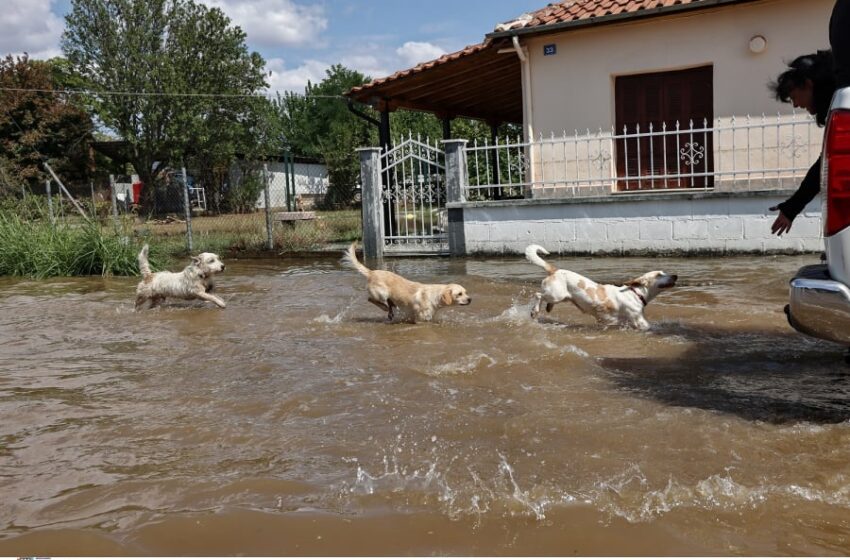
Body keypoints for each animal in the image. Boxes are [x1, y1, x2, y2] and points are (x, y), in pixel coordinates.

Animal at [340, 242, 470, 324]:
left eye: (465, 292)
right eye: (459, 294)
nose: (470, 299)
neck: (435, 296)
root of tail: (371, 272)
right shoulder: (420, 320)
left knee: (388, 303)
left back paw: (390, 310)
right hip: (382, 293)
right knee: (371, 299)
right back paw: (385, 308)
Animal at [524, 244, 676, 330]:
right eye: (659, 274)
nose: (675, 276)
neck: (635, 293)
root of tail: (554, 270)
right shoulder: (639, 321)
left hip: (560, 297)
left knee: (545, 300)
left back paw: (547, 309)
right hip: (556, 295)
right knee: (538, 295)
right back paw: (534, 311)